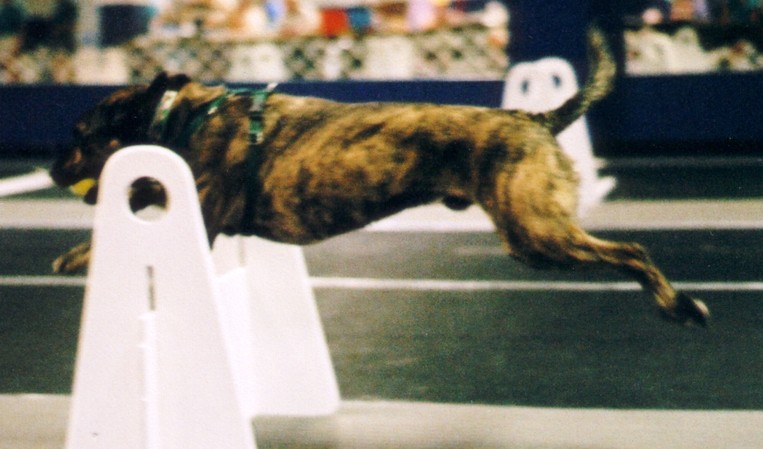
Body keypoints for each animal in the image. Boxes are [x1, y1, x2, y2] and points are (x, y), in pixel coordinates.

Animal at [50, 28, 709, 327]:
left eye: (79, 136)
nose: (53, 171)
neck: (181, 117)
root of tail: (535, 116)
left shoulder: (199, 212)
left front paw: (75, 257)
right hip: (536, 235)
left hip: (537, 235)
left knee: (632, 251)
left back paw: (679, 304)